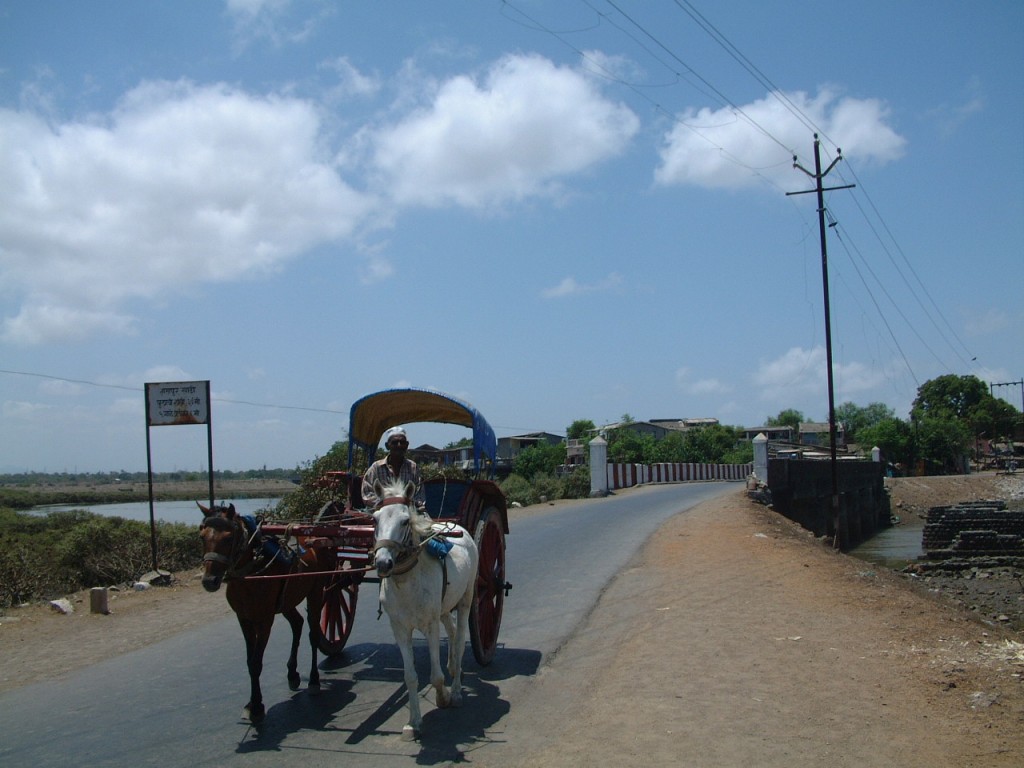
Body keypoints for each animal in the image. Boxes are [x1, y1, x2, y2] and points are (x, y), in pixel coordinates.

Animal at [196, 501, 331, 724]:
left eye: (229, 537)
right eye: (201, 536)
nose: (209, 581)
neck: (251, 572)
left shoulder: (265, 620)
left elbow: (257, 662)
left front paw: (257, 706)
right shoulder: (244, 619)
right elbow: (250, 661)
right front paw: (251, 704)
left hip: (316, 591)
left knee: (313, 633)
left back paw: (313, 680)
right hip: (287, 601)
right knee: (297, 623)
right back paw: (292, 674)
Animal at [372, 481, 479, 741]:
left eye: (404, 521)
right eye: (374, 520)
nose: (383, 563)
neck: (406, 581)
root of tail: (459, 528)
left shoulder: (430, 625)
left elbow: (435, 676)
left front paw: (443, 697)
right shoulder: (399, 629)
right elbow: (410, 677)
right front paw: (413, 723)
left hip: (466, 598)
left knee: (459, 640)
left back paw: (457, 691)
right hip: (444, 606)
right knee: (451, 630)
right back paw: (453, 666)